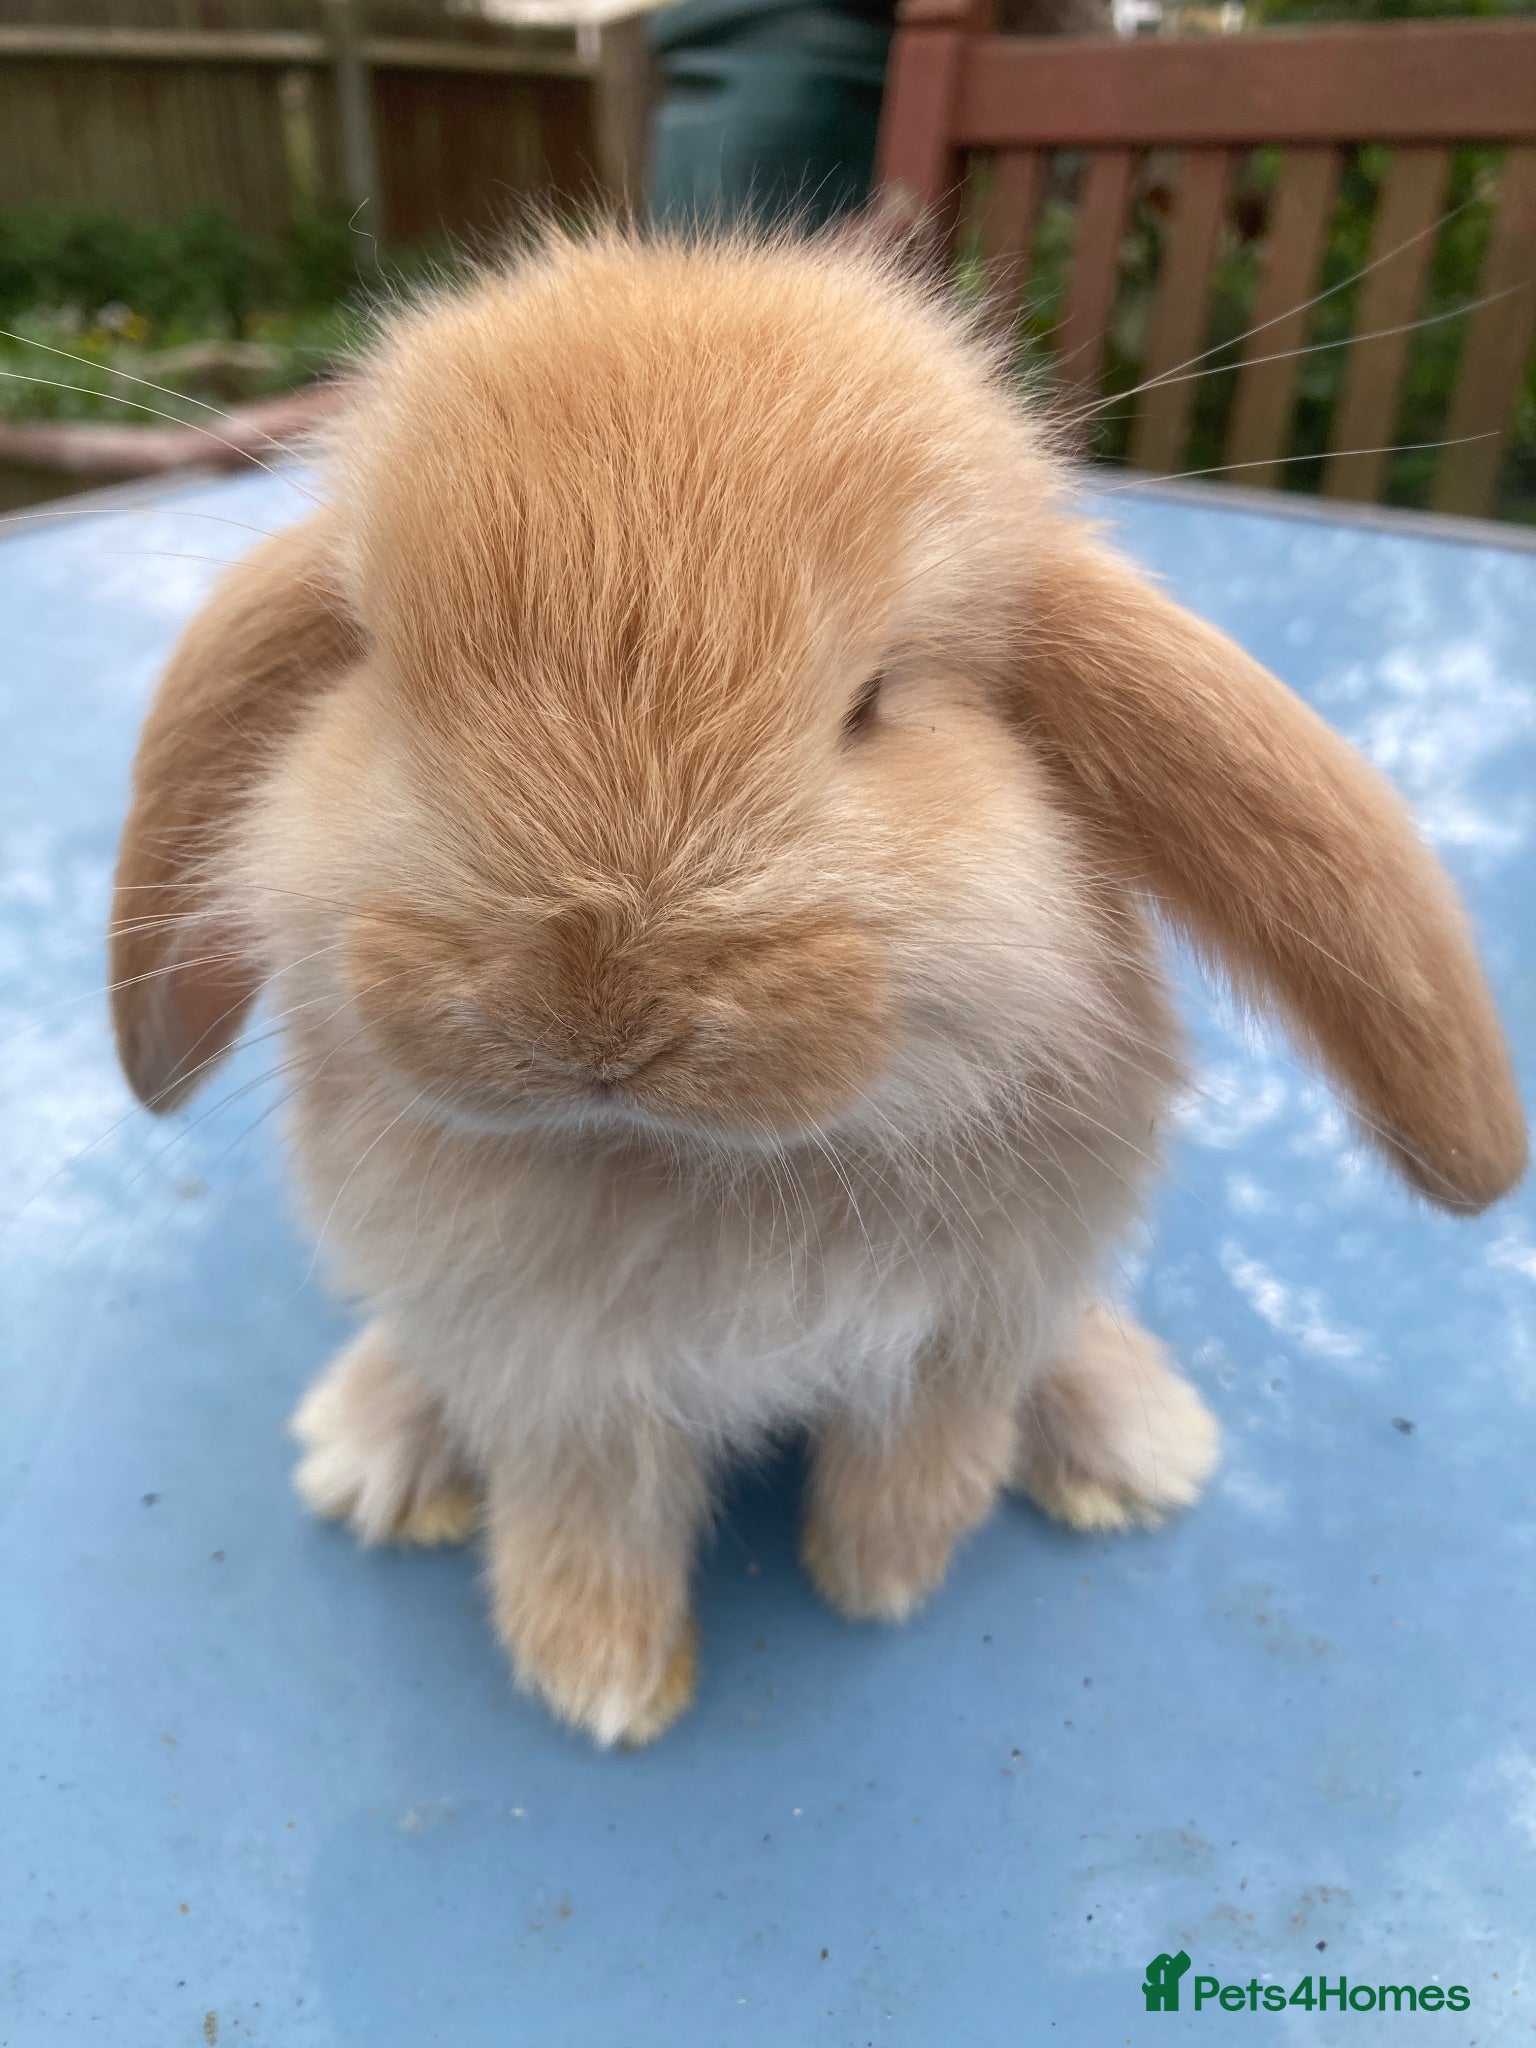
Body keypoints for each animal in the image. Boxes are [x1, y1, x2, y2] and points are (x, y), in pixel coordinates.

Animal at [109, 228, 1526, 1747]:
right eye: (383, 670)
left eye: (874, 701)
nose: (596, 1003)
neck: (682, 1164)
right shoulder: (554, 1381)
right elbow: (588, 1520)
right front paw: (605, 1683)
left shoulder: (971, 1325)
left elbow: (924, 1455)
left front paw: (877, 1577)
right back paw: (373, 1440)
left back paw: (1133, 1441)